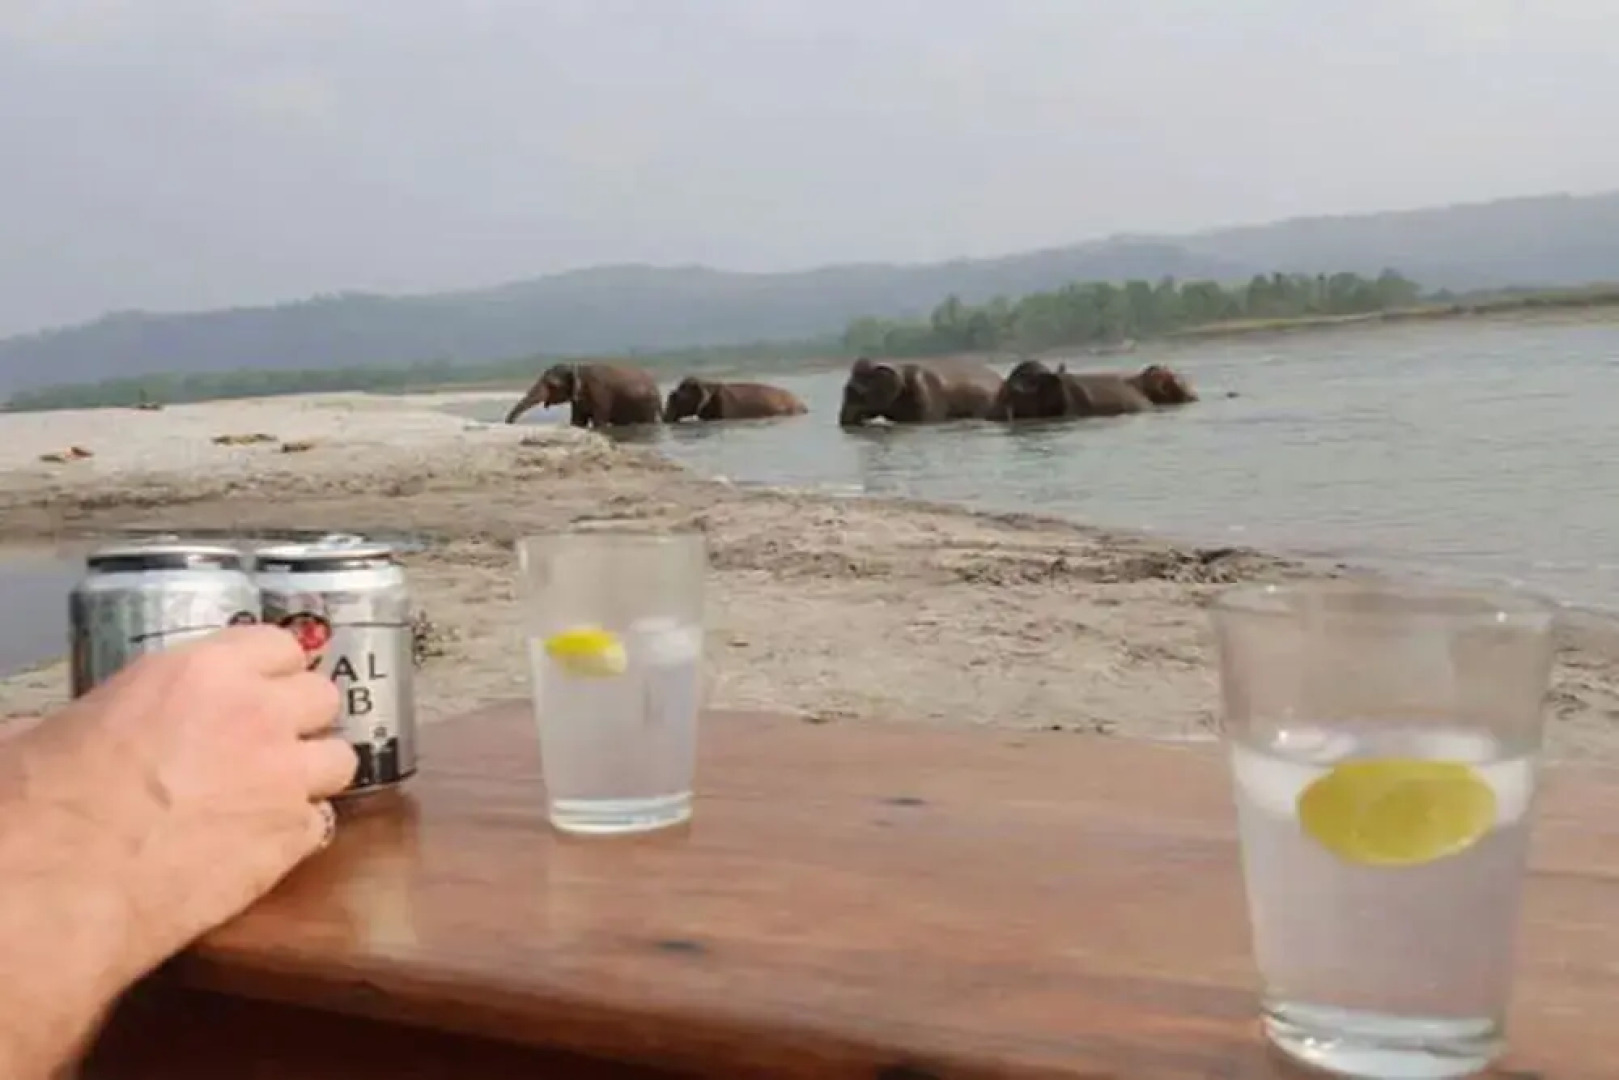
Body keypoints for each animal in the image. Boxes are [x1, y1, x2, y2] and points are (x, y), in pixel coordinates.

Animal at [503, 362, 662, 428]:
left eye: (552, 385)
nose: (509, 423)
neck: (577, 367)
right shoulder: (578, 400)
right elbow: (577, 422)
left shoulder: (600, 393)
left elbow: (599, 422)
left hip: (648, 406)